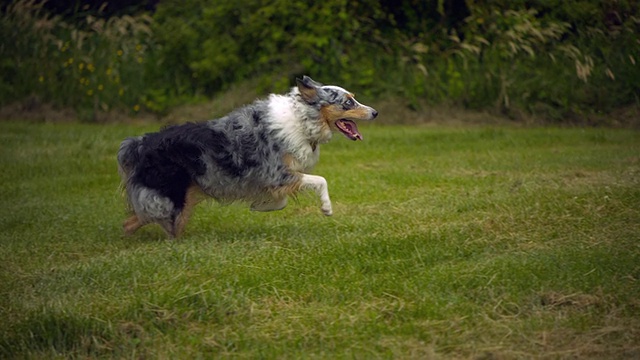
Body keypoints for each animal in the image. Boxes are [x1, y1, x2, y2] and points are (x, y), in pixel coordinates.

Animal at [117, 76, 378, 238]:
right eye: (348, 102)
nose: (375, 112)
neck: (303, 119)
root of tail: (139, 144)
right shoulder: (277, 173)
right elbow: (321, 180)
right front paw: (326, 208)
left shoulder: (274, 178)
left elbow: (281, 200)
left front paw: (260, 205)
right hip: (172, 196)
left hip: (180, 197)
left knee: (132, 222)